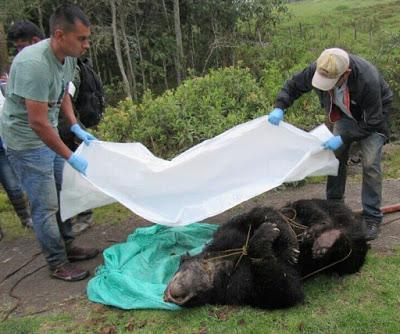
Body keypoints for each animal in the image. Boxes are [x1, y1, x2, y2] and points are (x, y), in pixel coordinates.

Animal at [162, 206, 304, 310]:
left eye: (175, 273)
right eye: (195, 300)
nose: (166, 297)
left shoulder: (225, 238)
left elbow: (253, 216)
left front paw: (288, 244)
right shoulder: (234, 290)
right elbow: (281, 290)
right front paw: (263, 239)